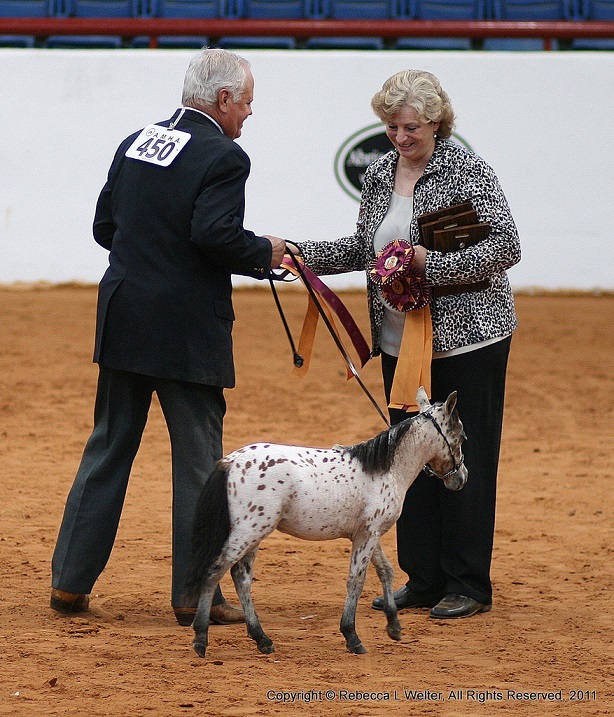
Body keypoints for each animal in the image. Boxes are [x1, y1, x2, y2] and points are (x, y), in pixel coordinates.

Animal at [185, 386, 470, 656]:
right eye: (462, 436)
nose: (462, 478)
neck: (385, 469)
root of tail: (230, 461)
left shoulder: (369, 533)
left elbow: (385, 572)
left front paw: (393, 627)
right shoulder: (367, 535)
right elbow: (356, 580)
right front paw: (352, 637)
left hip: (253, 534)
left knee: (240, 577)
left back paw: (262, 640)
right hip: (249, 531)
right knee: (215, 570)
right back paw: (201, 638)